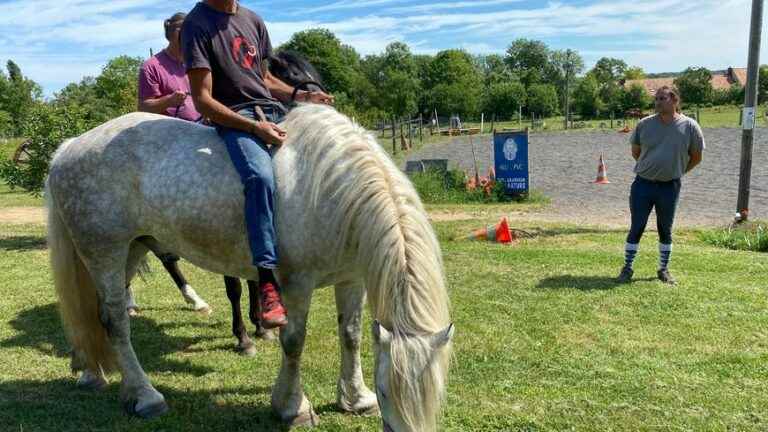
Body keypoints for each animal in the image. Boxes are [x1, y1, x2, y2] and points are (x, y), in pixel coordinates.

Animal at [48, 103, 452, 430]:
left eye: (435, 394)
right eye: (386, 392)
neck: (328, 188)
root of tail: (70, 146)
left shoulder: (351, 278)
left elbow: (350, 336)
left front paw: (355, 399)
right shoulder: (297, 282)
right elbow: (294, 341)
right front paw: (292, 407)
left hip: (131, 250)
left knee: (94, 312)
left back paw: (89, 371)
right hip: (105, 251)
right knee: (115, 320)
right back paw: (146, 396)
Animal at [128, 49, 324, 358]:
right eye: (292, 74)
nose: (324, 100)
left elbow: (254, 278)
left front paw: (261, 326)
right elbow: (234, 288)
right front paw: (243, 337)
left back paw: (191, 301)